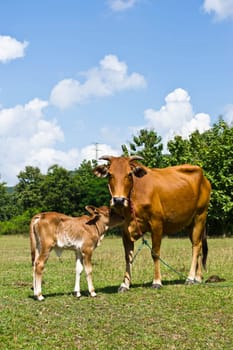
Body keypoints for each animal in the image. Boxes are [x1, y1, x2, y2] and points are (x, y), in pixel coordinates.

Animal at [93, 157, 212, 292]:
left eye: (129, 174)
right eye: (109, 174)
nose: (118, 200)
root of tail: (204, 178)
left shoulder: (157, 224)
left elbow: (155, 253)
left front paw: (157, 282)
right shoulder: (125, 230)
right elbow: (128, 257)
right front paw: (125, 284)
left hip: (200, 216)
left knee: (196, 247)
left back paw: (190, 278)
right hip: (190, 223)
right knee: (199, 246)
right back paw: (198, 277)